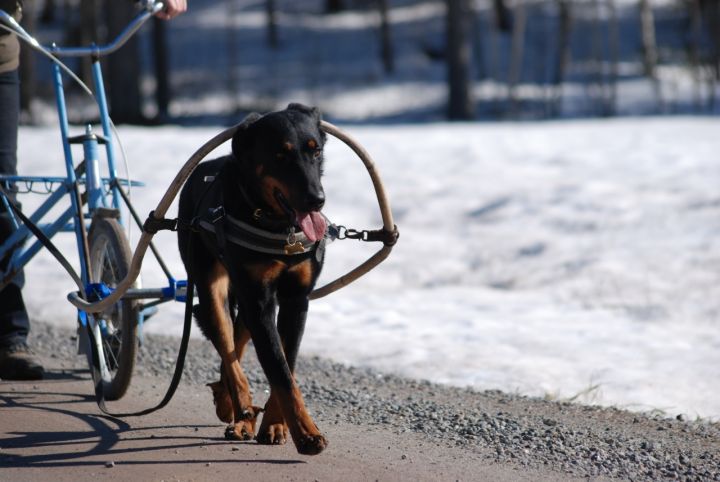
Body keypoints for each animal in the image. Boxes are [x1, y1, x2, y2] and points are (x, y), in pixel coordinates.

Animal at [178, 103, 330, 454]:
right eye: (280, 155)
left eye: (315, 151)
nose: (317, 199)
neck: (278, 225)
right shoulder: (259, 300)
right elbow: (279, 370)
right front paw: (306, 433)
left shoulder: (295, 299)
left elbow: (287, 363)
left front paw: (276, 425)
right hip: (212, 286)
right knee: (227, 347)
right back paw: (239, 409)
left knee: (236, 342)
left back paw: (235, 409)